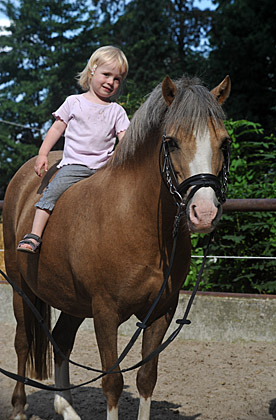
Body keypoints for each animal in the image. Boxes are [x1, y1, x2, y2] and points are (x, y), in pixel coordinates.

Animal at [2, 75, 231, 420]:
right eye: (172, 142)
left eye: (224, 142)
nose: (203, 213)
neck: (137, 219)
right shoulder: (105, 312)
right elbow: (113, 381)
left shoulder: (161, 311)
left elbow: (146, 377)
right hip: (21, 290)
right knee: (23, 342)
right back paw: (18, 408)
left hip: (73, 300)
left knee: (61, 340)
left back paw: (66, 407)